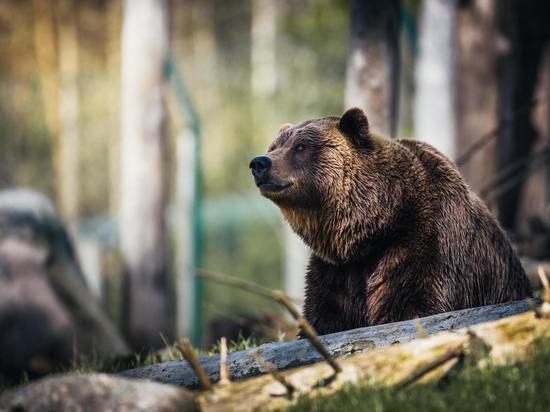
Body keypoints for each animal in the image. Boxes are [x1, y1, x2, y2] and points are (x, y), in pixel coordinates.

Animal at [251, 106, 536, 334]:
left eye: (300, 147)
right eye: (274, 147)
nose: (259, 163)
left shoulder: (425, 243)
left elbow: (411, 305)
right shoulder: (337, 271)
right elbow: (325, 317)